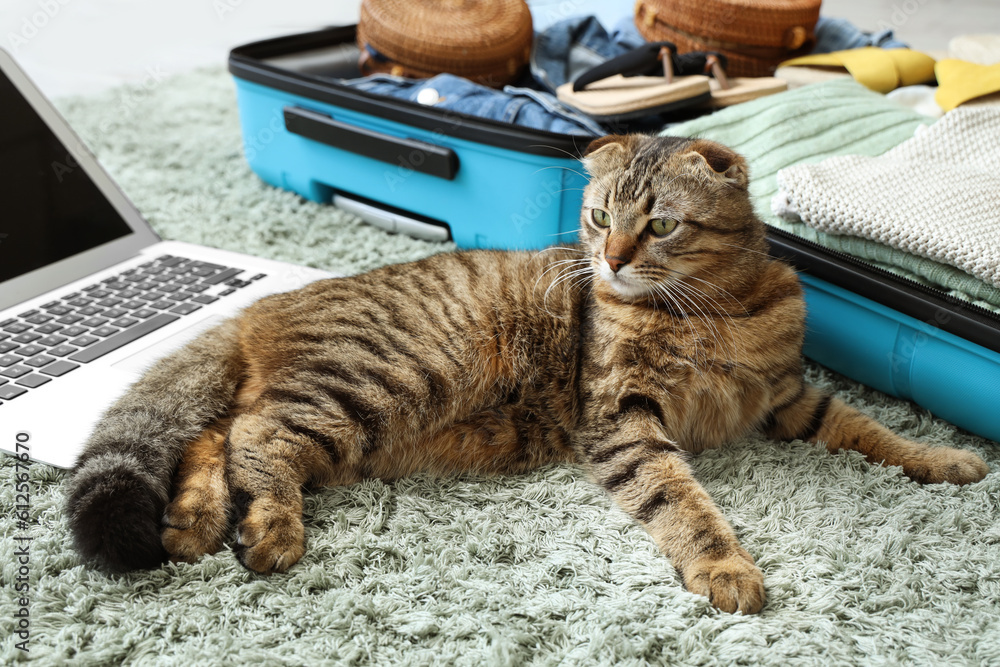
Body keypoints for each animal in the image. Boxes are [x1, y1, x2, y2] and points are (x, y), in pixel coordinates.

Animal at [66, 136, 988, 616]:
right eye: (597, 217)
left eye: (660, 225)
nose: (611, 260)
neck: (709, 310)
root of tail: (266, 303)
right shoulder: (621, 415)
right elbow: (681, 498)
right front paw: (724, 563)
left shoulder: (788, 398)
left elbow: (868, 427)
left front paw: (943, 459)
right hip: (371, 385)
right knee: (255, 435)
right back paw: (271, 526)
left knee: (215, 433)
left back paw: (192, 520)